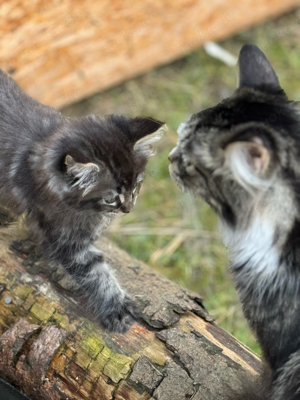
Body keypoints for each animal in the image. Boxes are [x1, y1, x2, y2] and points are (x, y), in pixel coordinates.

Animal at [0, 69, 164, 334]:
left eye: (136, 188)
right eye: (111, 198)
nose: (128, 209)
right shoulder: (67, 237)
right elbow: (95, 270)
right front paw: (116, 308)